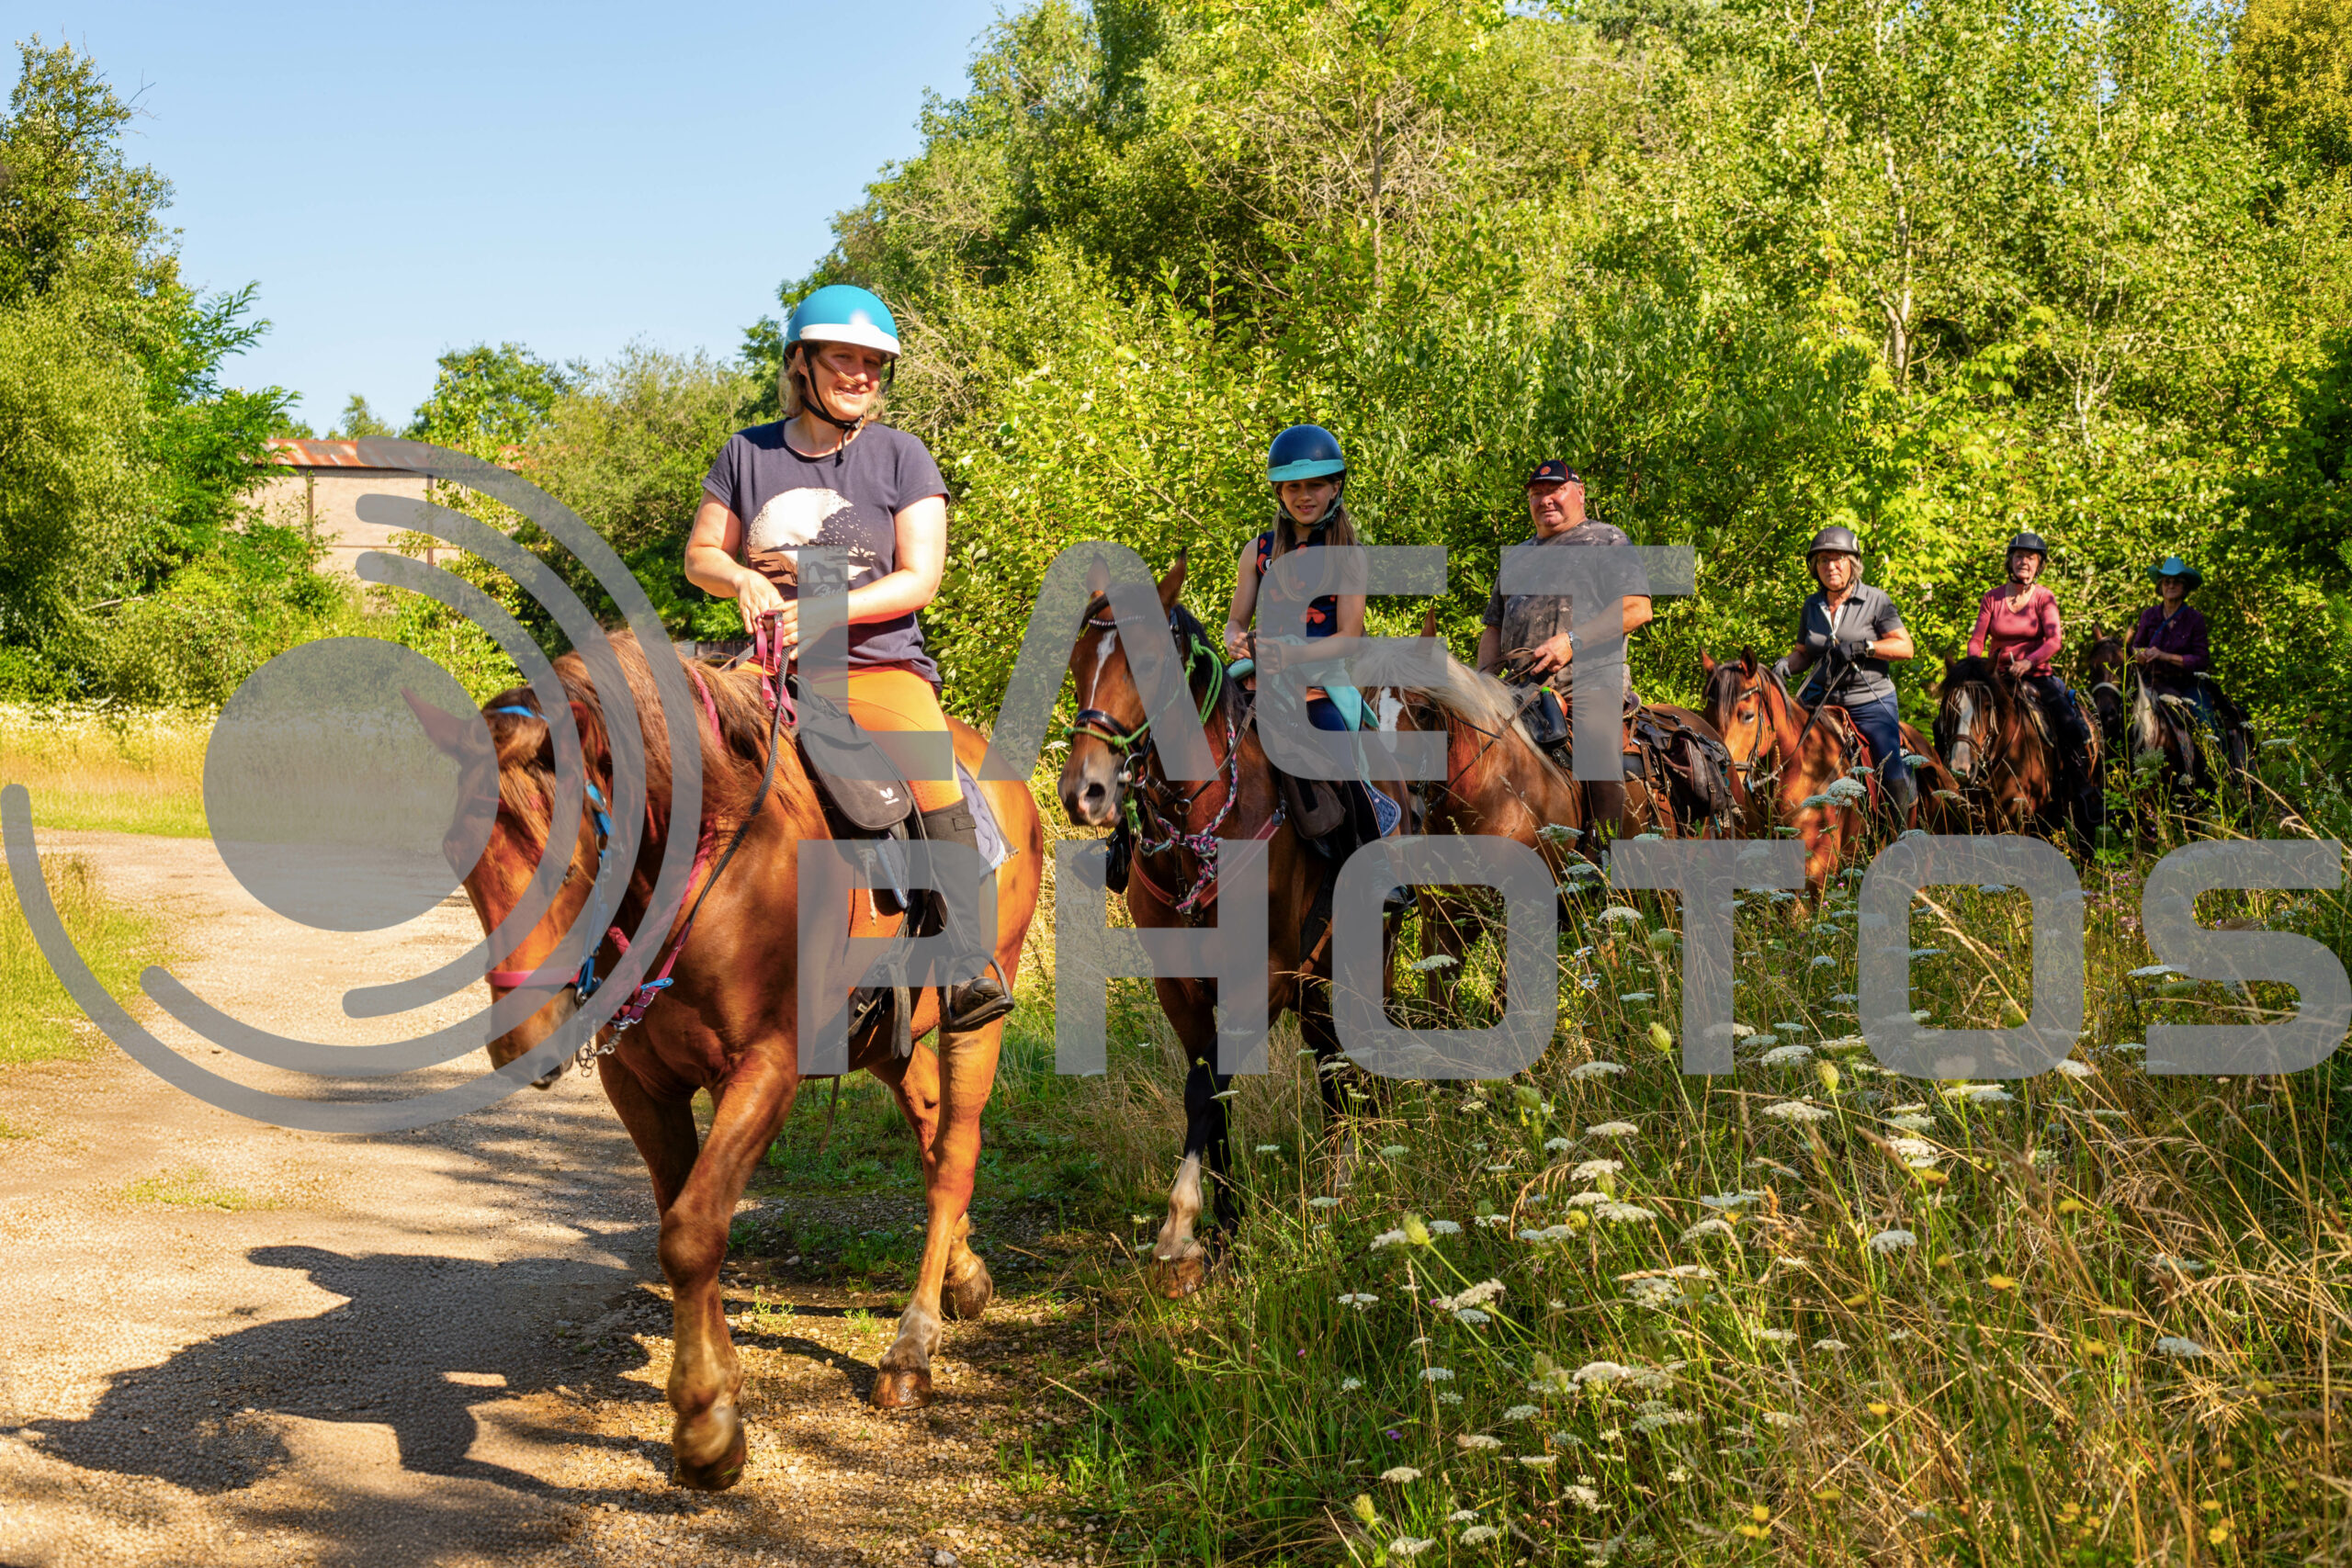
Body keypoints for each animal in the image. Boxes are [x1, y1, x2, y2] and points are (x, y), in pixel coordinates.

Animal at [408, 629, 1043, 1489]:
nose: (521, 1041)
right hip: (888, 1037)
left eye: (570, 865)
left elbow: (691, 1231)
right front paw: (718, 1400)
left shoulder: (765, 1069)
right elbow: (684, 1218)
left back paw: (911, 1347)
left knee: (955, 1156)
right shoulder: (640, 1083)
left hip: (973, 1019)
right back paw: (963, 1275)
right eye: (457, 854)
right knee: (930, 1126)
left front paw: (706, 1424)